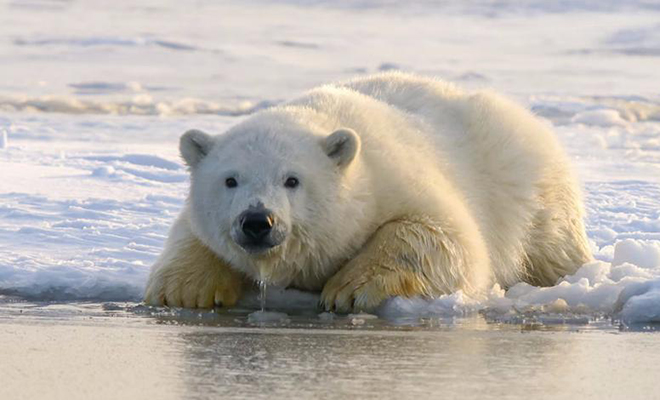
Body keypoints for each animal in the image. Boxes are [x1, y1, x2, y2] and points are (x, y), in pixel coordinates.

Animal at [146, 72, 592, 312]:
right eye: (230, 180)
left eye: (292, 179)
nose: (258, 221)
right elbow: (190, 233)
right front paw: (186, 290)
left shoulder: (396, 178)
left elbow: (445, 237)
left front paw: (348, 290)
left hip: (529, 187)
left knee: (552, 245)